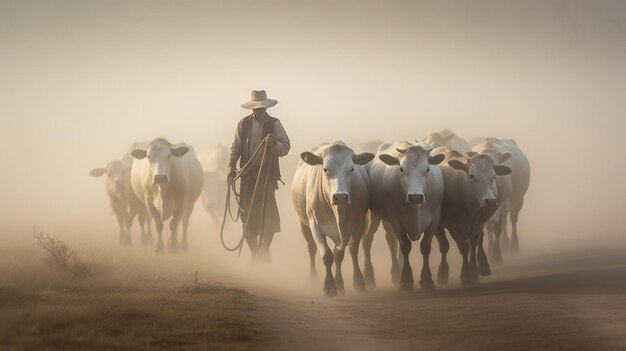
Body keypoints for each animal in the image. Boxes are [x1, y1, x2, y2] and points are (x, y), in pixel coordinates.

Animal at [292, 143, 372, 296]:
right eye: (325, 169)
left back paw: (340, 283)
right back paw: (313, 278)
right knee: (312, 248)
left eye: (352, 169)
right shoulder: (315, 224)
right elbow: (327, 256)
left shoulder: (359, 223)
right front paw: (329, 286)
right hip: (303, 224)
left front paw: (358, 281)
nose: (340, 197)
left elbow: (350, 251)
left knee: (338, 254)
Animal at [366, 142, 444, 290]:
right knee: (370, 240)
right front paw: (406, 279)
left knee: (391, 241)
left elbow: (425, 246)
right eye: (401, 169)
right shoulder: (395, 219)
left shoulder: (435, 218)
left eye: (427, 169)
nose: (415, 197)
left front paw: (427, 280)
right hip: (375, 217)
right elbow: (405, 246)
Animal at [434, 148, 512, 286]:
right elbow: (460, 247)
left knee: (479, 240)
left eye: (493, 176)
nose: (490, 201)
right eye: (471, 175)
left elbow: (474, 244)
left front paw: (474, 273)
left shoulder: (479, 223)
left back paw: (483, 265)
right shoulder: (451, 226)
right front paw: (464, 274)